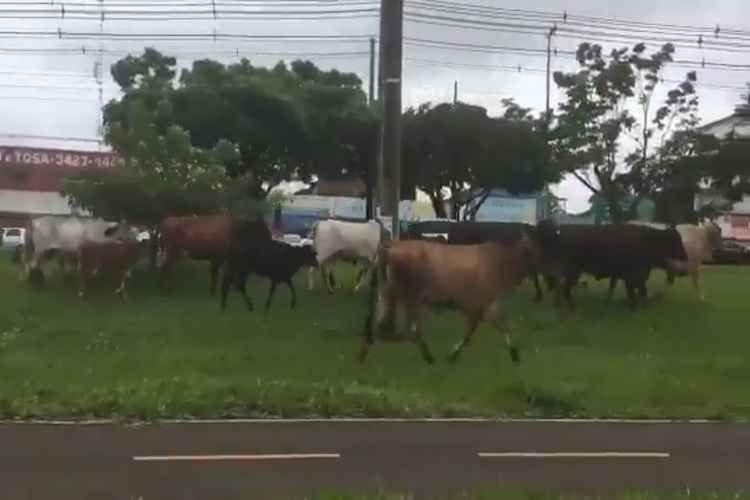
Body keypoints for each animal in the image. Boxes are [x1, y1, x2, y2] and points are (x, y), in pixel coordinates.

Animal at [360, 232, 540, 366]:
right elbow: (484, 329)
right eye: (534, 251)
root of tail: (392, 246)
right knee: (402, 328)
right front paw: (514, 354)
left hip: (393, 295)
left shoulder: (483, 306)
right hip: (407, 296)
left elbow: (486, 329)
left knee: (390, 325)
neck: (501, 262)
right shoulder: (479, 304)